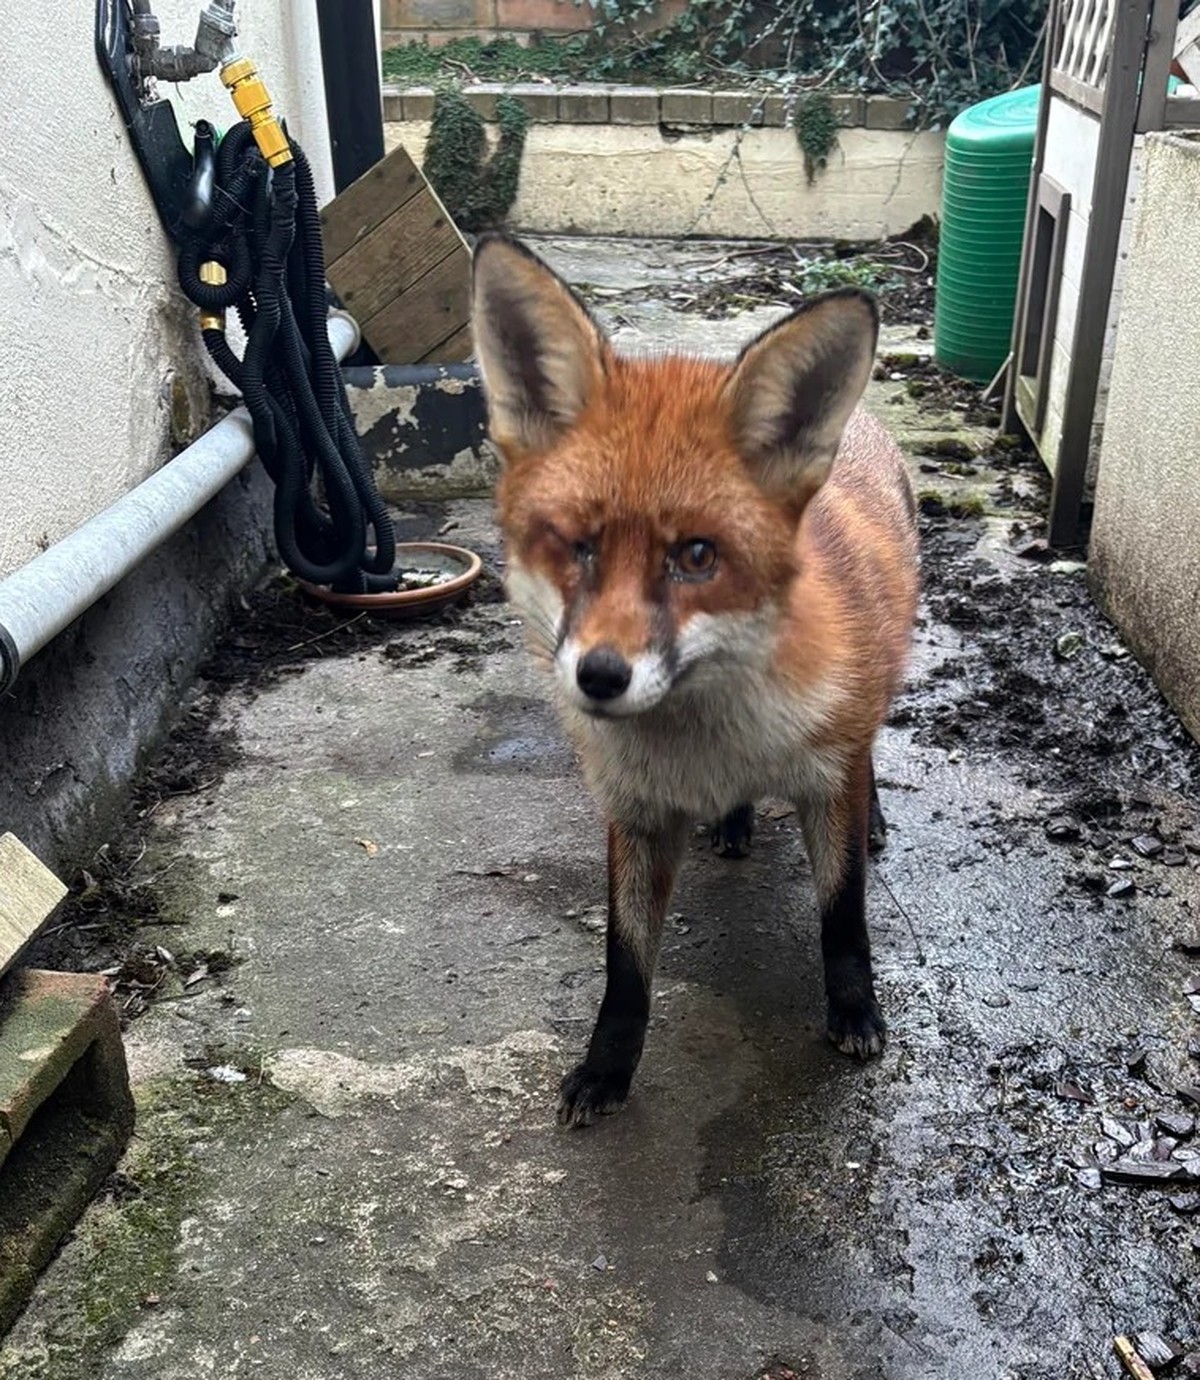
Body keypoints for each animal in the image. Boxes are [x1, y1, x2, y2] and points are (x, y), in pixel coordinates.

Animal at [470, 233, 920, 1128]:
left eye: (697, 556)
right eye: (578, 546)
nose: (600, 676)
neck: (709, 745)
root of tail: (861, 425)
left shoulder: (828, 776)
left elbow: (843, 914)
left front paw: (855, 1010)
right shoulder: (635, 810)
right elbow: (625, 963)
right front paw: (607, 1068)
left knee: (874, 755)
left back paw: (874, 814)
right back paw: (736, 823)